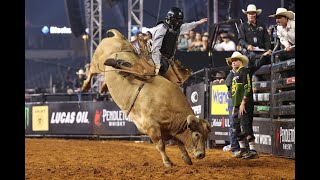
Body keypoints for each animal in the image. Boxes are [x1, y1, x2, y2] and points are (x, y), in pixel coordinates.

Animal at [81, 28, 211, 167]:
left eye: (206, 135)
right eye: (196, 134)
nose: (201, 154)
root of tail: (117, 37)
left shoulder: (170, 129)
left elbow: (179, 142)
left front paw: (186, 158)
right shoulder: (152, 127)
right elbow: (161, 145)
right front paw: (168, 162)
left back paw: (103, 87)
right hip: (97, 63)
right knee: (91, 71)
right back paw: (86, 86)